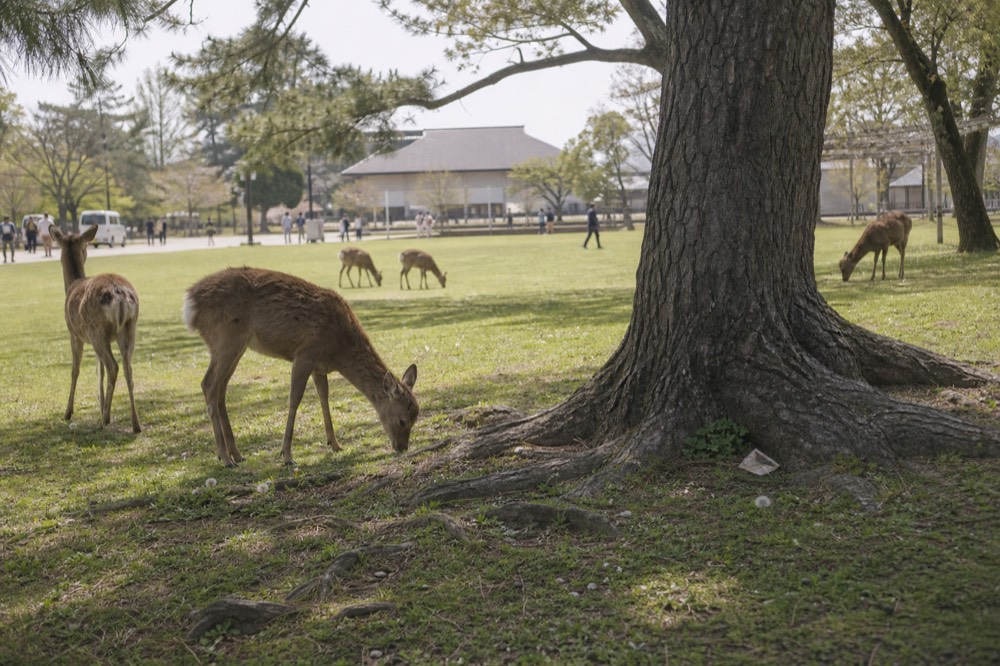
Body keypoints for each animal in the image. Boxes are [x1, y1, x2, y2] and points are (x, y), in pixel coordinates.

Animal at [49, 225, 141, 433]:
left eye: (84, 247)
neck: (71, 285)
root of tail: (120, 296)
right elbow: (99, 372)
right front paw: (100, 404)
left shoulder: (74, 334)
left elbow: (75, 370)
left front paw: (68, 412)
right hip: (128, 329)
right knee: (128, 369)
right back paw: (135, 423)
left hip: (97, 331)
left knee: (113, 366)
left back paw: (106, 419)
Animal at [182, 267, 419, 467]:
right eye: (402, 421)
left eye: (415, 419)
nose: (402, 447)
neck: (339, 350)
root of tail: (189, 304)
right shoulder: (305, 354)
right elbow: (294, 399)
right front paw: (286, 455)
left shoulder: (319, 367)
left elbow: (324, 398)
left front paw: (335, 444)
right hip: (226, 339)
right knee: (208, 384)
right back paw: (225, 458)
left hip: (236, 347)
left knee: (221, 389)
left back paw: (237, 454)